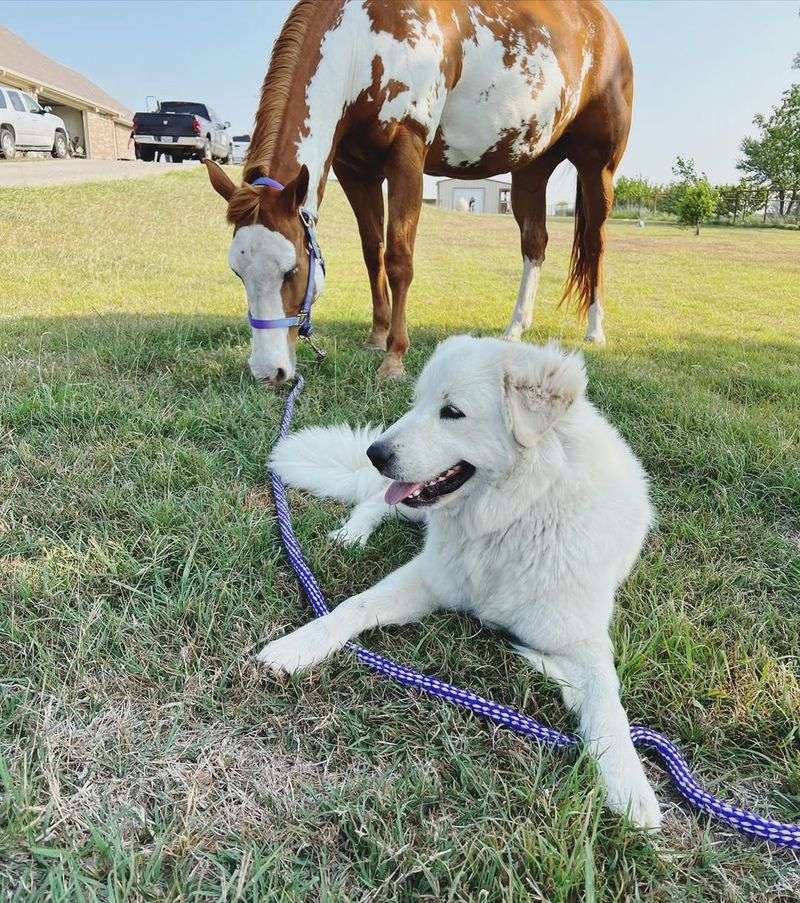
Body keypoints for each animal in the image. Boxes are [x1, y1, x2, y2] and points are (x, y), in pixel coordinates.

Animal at [205, 0, 632, 384]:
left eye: (292, 270)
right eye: (238, 272)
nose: (268, 372)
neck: (365, 38)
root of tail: (607, 26)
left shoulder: (406, 154)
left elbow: (398, 259)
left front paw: (394, 359)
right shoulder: (355, 171)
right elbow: (372, 253)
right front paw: (377, 337)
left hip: (597, 170)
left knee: (594, 244)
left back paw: (595, 330)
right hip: (530, 167)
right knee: (534, 244)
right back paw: (515, 328)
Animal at [260, 336, 660, 828]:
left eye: (451, 412)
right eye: (416, 403)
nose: (375, 454)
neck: (511, 518)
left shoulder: (582, 641)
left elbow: (608, 705)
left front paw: (630, 786)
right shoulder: (429, 578)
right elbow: (350, 607)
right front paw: (296, 647)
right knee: (373, 501)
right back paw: (352, 534)